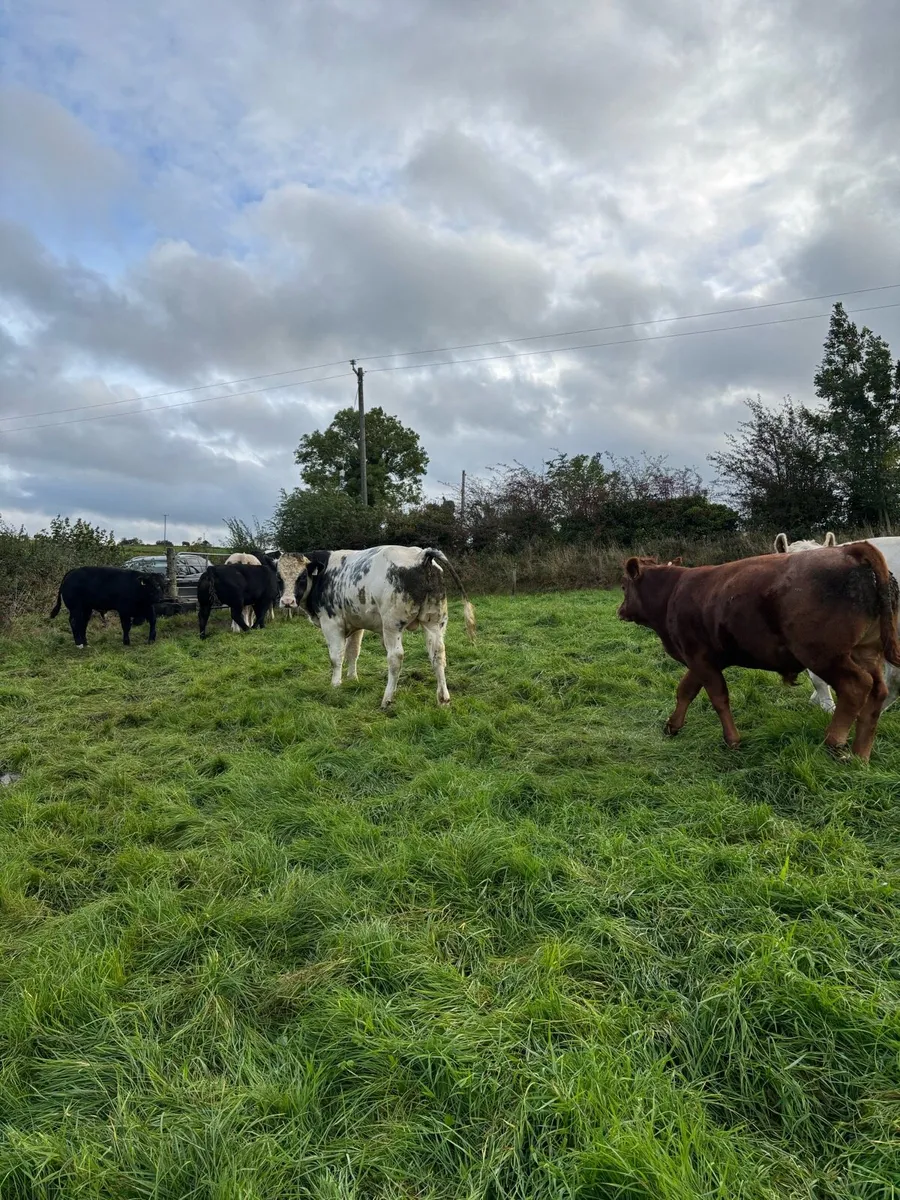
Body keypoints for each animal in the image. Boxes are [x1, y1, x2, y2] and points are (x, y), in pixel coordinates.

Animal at [275, 545, 476, 707]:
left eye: (302, 577)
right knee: (438, 654)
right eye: (279, 578)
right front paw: (352, 679)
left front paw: (335, 685)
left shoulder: (331, 623)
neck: (323, 576)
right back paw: (443, 698)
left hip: (392, 625)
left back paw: (387, 699)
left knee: (395, 658)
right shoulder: (356, 624)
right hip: (434, 622)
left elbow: (336, 657)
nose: (287, 601)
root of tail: (421, 555)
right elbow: (353, 652)